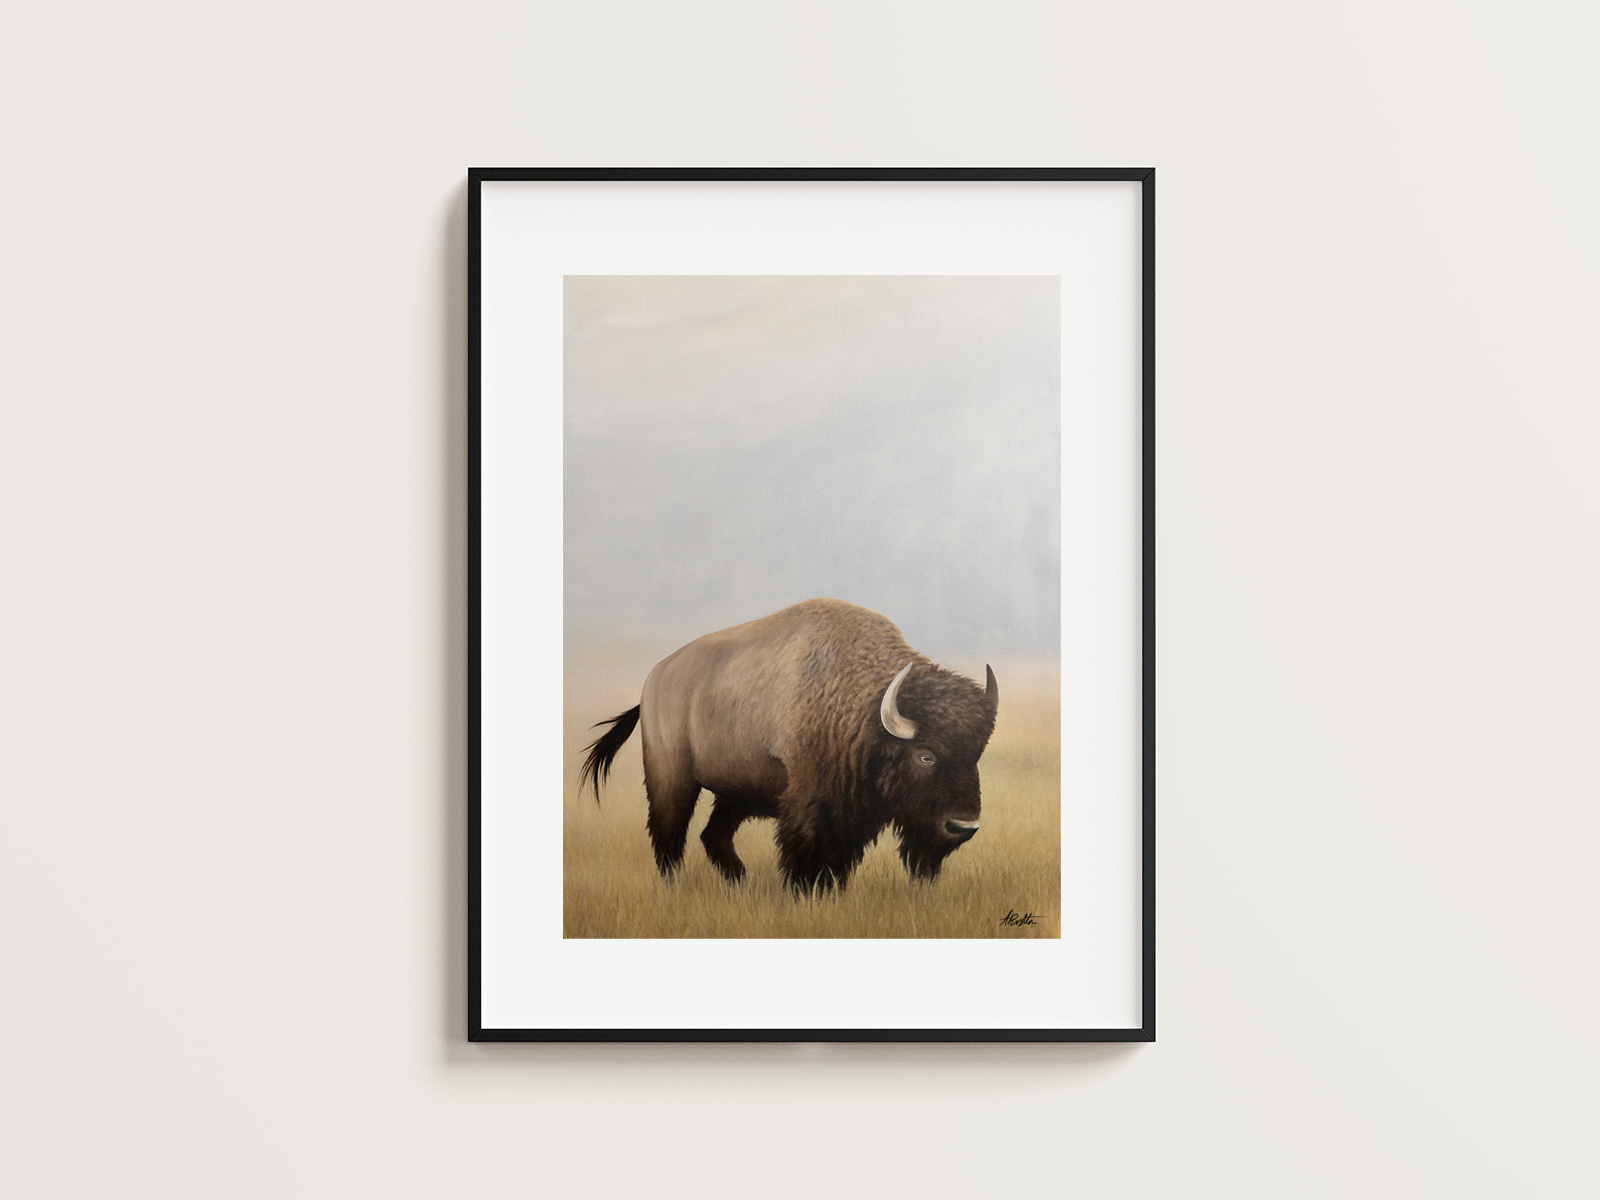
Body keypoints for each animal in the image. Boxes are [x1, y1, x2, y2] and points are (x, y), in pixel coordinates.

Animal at [579, 598, 998, 892]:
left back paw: (741, 883)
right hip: (672, 780)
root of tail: (654, 679)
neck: (862, 706)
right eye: (926, 755)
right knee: (669, 835)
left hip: (735, 795)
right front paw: (806, 893)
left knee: (712, 835)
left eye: (976, 755)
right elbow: (806, 853)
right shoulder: (810, 804)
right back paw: (678, 887)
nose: (963, 826)